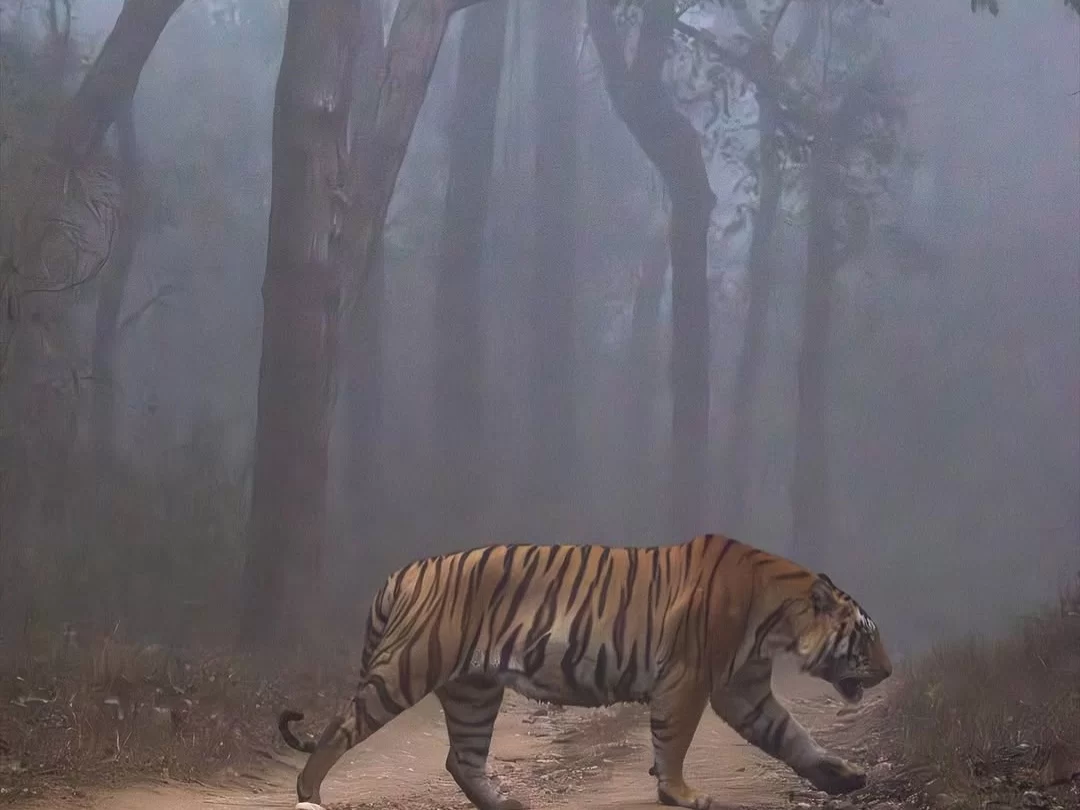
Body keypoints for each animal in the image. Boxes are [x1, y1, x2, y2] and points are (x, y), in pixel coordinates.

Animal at [279, 534, 892, 810]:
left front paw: (842, 776)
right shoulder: (691, 678)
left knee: (461, 758)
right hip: (407, 667)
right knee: (339, 729)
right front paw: (679, 793)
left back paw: (506, 804)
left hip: (474, 690)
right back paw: (309, 795)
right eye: (866, 637)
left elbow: (792, 735)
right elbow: (674, 740)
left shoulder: (744, 689)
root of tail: (404, 571)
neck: (777, 621)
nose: (889, 672)